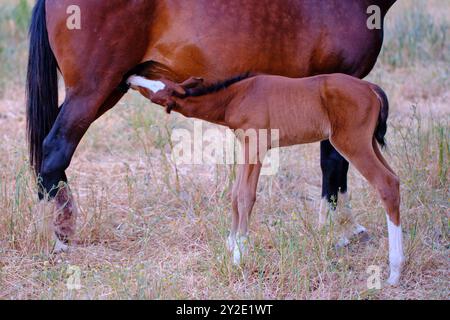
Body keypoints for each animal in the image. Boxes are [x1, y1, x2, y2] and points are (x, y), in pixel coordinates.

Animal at [127, 73, 404, 284]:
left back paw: (394, 272)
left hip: (351, 143)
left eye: (157, 91)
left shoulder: (257, 147)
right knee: (395, 179)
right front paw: (231, 244)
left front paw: (239, 254)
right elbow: (234, 194)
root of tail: (370, 87)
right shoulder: (246, 146)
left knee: (386, 184)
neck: (235, 96)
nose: (130, 78)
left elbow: (245, 196)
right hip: (368, 143)